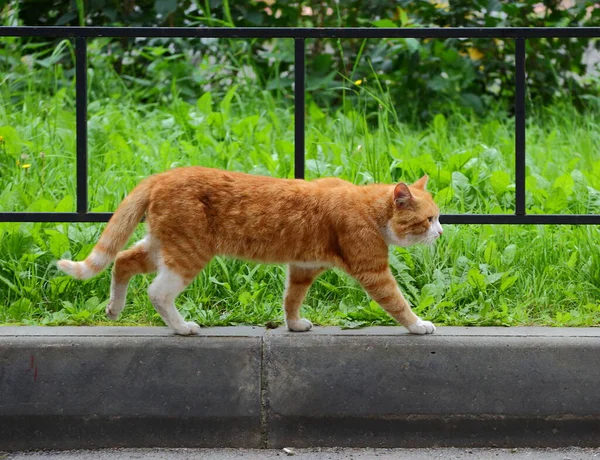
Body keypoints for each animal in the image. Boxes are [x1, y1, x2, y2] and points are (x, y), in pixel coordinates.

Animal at [57, 165, 440, 334]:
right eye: (428, 219)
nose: (440, 232)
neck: (369, 208)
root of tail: (163, 175)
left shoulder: (303, 268)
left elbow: (291, 298)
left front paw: (294, 324)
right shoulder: (373, 271)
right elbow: (397, 301)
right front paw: (418, 325)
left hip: (161, 246)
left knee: (122, 260)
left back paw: (113, 308)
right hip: (188, 254)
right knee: (158, 292)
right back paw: (182, 327)